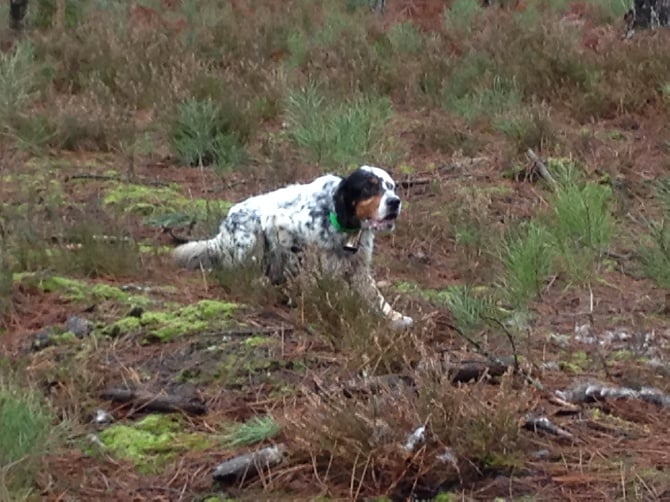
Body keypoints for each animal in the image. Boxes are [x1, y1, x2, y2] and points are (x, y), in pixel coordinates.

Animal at [173, 166, 414, 330]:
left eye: (391, 187)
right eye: (368, 187)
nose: (395, 202)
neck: (337, 219)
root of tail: (222, 232)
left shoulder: (359, 268)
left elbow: (377, 298)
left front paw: (395, 317)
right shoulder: (280, 225)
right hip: (250, 238)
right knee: (240, 272)